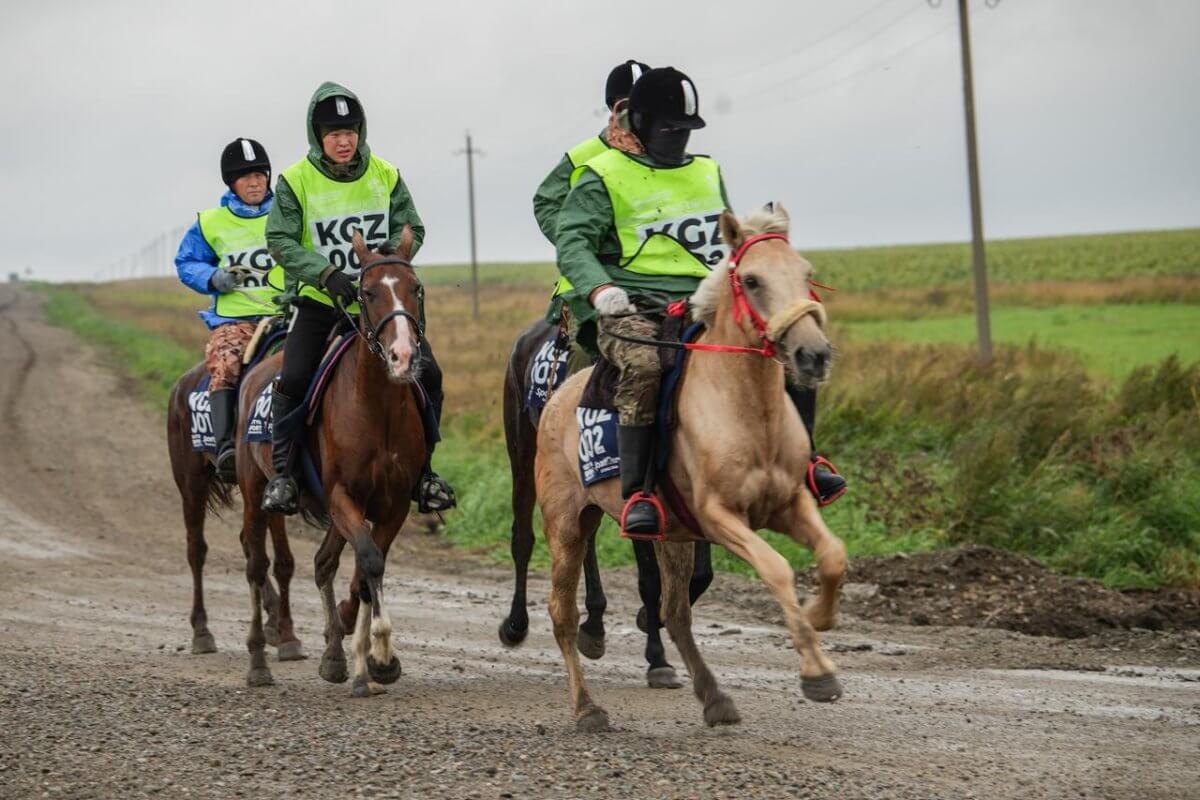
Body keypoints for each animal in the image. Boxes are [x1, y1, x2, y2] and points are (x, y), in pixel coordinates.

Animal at [166, 359, 302, 662]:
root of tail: (180, 384)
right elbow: (284, 561)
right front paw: (289, 637)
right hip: (191, 482)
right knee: (196, 549)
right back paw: (202, 632)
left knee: (247, 542)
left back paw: (271, 620)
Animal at [234, 227, 427, 690]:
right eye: (367, 292)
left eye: (415, 288)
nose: (403, 357)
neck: (378, 407)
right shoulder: (342, 496)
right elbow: (370, 562)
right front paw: (380, 649)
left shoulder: (393, 504)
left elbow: (364, 570)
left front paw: (369, 657)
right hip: (254, 492)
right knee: (256, 565)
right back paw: (259, 662)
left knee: (324, 564)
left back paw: (335, 655)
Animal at [501, 314, 715, 690]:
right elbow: (649, 578)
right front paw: (658, 658)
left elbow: (701, 573)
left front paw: (651, 619)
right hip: (526, 451)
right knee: (524, 537)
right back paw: (517, 624)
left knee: (583, 537)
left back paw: (594, 624)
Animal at [535, 206, 844, 734]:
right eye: (753, 280)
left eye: (806, 274)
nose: (813, 355)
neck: (747, 412)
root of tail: (557, 395)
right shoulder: (721, 517)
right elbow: (777, 568)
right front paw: (817, 672)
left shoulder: (791, 503)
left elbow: (833, 556)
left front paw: (819, 616)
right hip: (566, 525)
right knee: (562, 614)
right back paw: (587, 707)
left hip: (671, 536)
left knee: (675, 612)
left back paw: (714, 697)